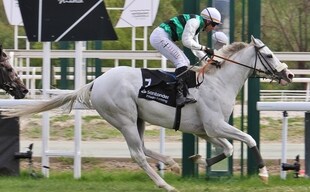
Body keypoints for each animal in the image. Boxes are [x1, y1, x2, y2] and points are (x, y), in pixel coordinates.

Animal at [4, 36, 294, 192]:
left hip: (138, 119)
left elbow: (229, 148)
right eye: (269, 54)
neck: (217, 81)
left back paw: (172, 163)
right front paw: (263, 173)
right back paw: (165, 184)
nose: (289, 74)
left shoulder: (207, 129)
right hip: (124, 119)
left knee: (143, 148)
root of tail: (96, 82)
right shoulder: (215, 125)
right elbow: (249, 139)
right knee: (137, 155)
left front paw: (199, 160)